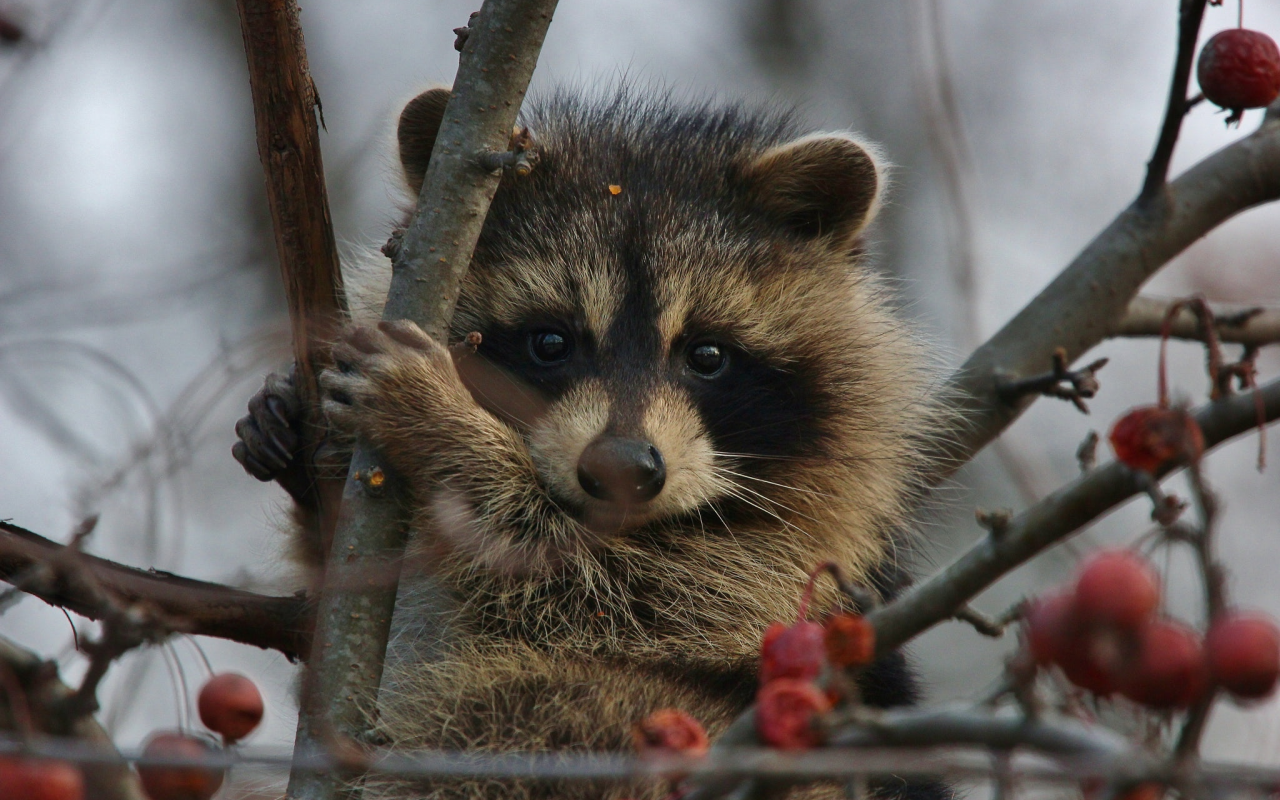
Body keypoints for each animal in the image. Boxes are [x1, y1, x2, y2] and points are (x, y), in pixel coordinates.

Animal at [232, 87, 952, 798]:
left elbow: (596, 584)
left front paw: (447, 427)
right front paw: (294, 441)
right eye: (550, 342)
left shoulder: (778, 567)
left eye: (708, 355)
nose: (622, 469)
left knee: (523, 706)